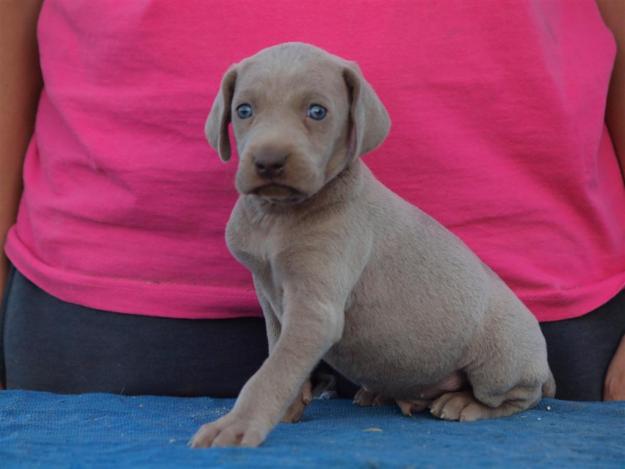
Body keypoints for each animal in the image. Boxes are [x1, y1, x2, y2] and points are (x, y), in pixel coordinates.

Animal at [189, 43, 552, 446]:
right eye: (244, 110)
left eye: (317, 111)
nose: (268, 162)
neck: (277, 216)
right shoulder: (270, 296)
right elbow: (278, 355)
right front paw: (287, 409)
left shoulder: (316, 310)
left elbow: (271, 373)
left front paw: (236, 426)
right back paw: (387, 394)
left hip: (499, 363)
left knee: (522, 397)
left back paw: (464, 403)